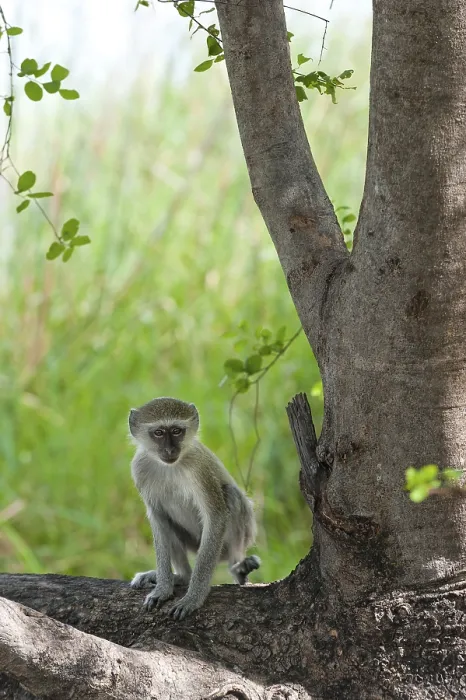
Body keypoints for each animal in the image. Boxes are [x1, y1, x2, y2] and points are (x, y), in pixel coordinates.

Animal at [128, 397, 260, 620]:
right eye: (159, 433)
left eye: (176, 431)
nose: (170, 450)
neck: (170, 467)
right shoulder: (139, 469)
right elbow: (159, 519)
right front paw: (163, 588)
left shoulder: (199, 470)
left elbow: (216, 516)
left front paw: (193, 598)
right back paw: (181, 577)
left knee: (231, 496)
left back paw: (237, 568)